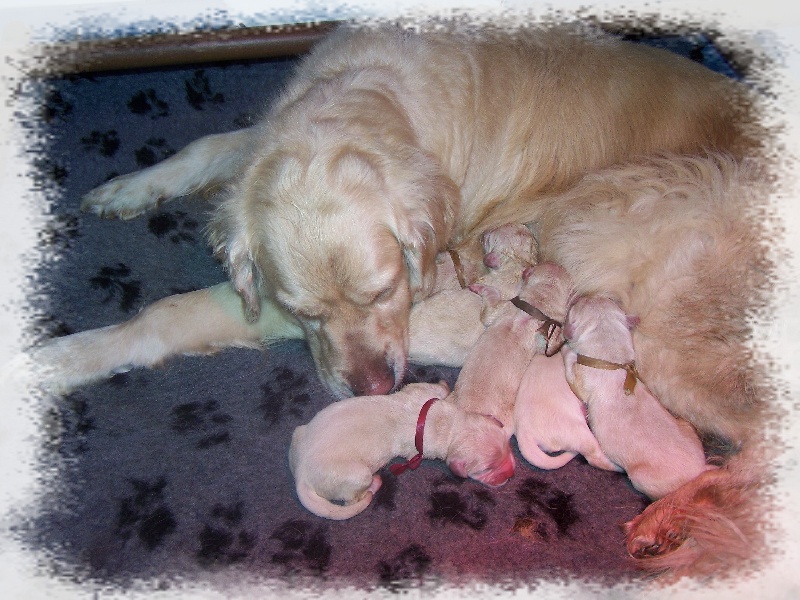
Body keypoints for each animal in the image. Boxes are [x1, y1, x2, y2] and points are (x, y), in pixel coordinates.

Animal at [290, 384, 516, 520]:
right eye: (486, 469)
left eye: (507, 445)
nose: (512, 473)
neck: (448, 423)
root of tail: (301, 476)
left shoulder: (421, 393)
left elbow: (432, 387)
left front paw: (446, 387)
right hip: (355, 475)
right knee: (354, 497)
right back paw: (374, 484)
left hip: (299, 433)